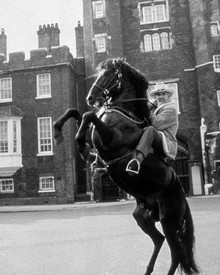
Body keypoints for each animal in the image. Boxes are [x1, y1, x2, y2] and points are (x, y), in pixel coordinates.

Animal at [53, 58, 199, 275]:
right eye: (99, 72)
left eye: (111, 73)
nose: (90, 97)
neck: (125, 113)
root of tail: (180, 190)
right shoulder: (98, 144)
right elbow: (76, 113)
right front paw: (57, 132)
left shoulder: (112, 139)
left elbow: (88, 116)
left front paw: (79, 144)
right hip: (143, 217)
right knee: (159, 240)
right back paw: (147, 270)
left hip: (169, 221)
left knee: (176, 253)